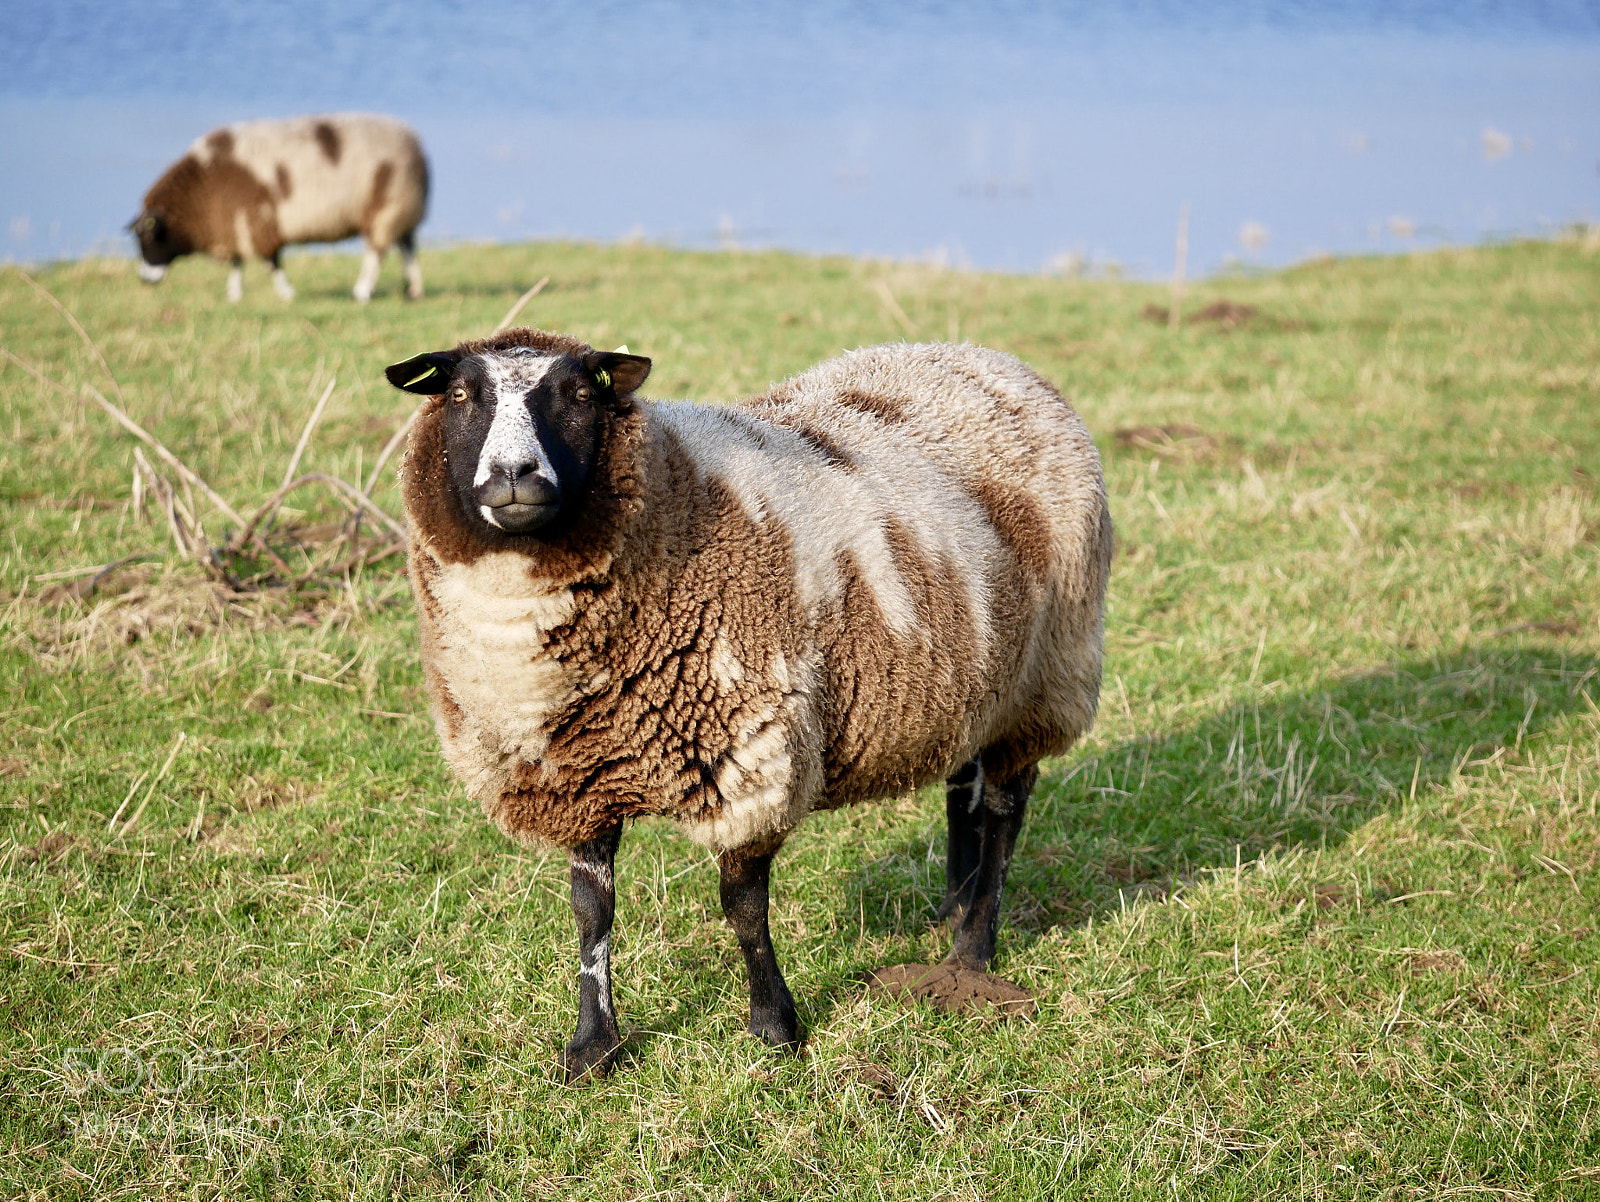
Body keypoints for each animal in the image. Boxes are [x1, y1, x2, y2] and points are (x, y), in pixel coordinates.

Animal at [131, 113, 428, 304]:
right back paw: (413, 290)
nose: (144, 280)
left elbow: (270, 262)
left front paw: (287, 294)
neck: (202, 187)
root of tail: (415, 144)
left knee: (376, 256)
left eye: (149, 237)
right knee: (407, 250)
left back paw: (361, 293)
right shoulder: (233, 225)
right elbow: (237, 263)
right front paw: (234, 294)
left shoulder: (256, 221)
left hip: (386, 211)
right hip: (401, 214)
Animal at [384, 328, 1113, 1080]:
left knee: (1003, 809)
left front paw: (774, 1026)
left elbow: (742, 906)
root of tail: (984, 356)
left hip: (1045, 679)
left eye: (582, 393)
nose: (514, 476)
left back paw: (969, 956)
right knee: (962, 785)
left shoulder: (750, 752)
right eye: (460, 394)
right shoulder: (578, 772)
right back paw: (953, 906)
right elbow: (591, 912)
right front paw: (592, 1046)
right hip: (972, 680)